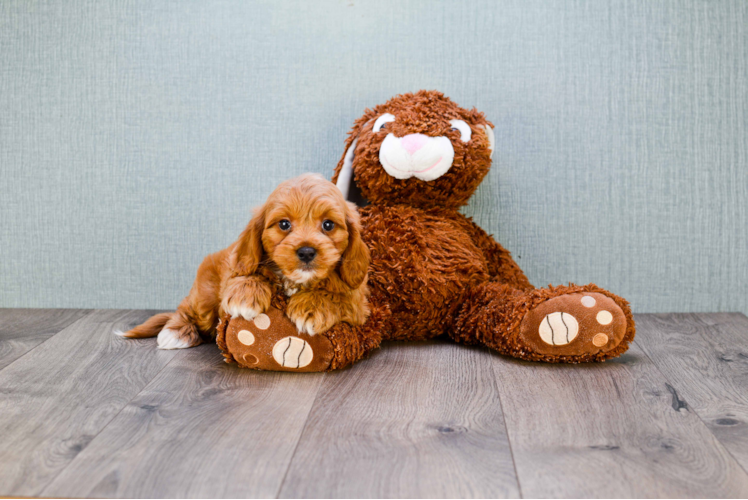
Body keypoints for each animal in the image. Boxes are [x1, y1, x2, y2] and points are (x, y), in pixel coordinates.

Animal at [117, 174, 372, 350]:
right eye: (284, 224)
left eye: (328, 225)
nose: (307, 252)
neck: (295, 281)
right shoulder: (235, 264)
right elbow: (245, 273)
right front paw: (246, 296)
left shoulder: (358, 303)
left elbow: (338, 296)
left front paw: (311, 307)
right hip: (205, 293)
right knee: (187, 308)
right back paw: (175, 332)